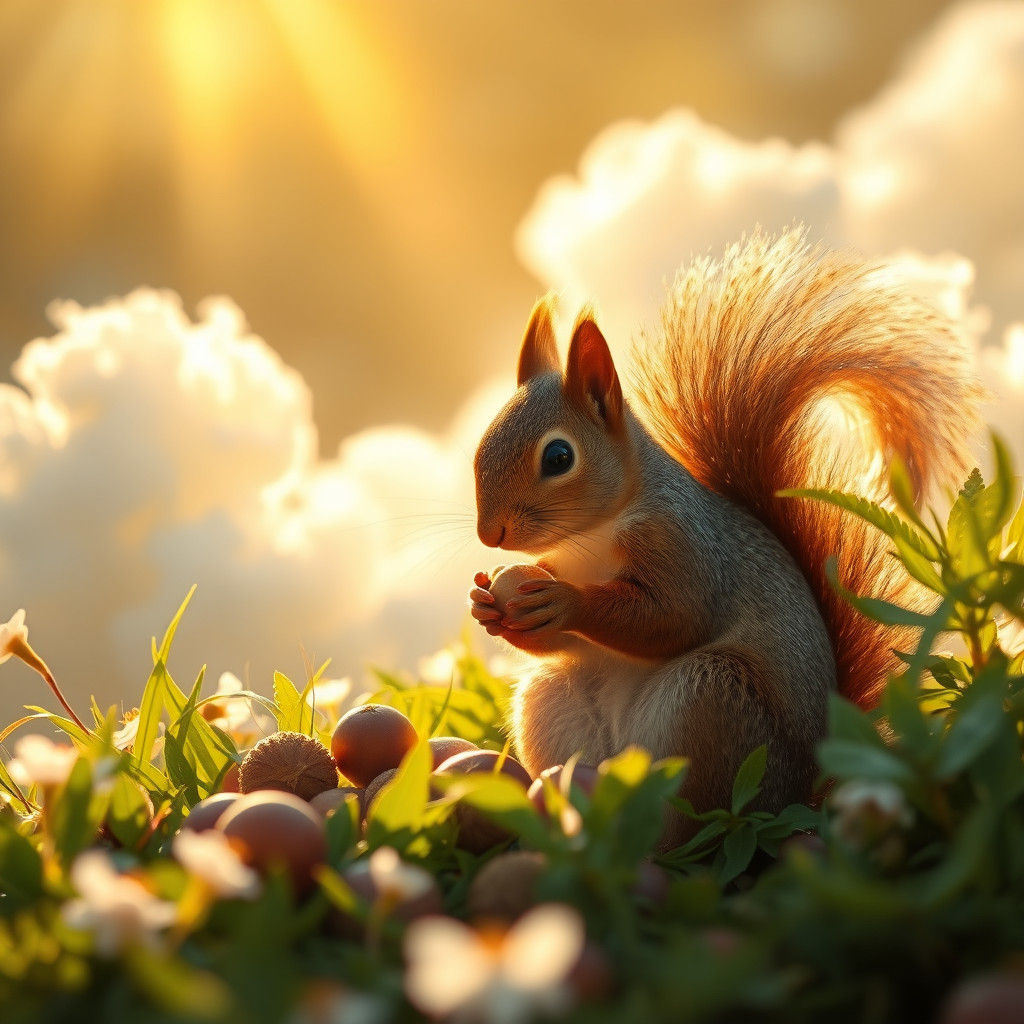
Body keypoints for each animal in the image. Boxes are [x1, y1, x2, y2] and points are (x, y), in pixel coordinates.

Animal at [468, 229, 983, 842]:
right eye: (481, 445)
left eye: (558, 457)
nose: (490, 533)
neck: (588, 540)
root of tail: (799, 790)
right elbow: (566, 641)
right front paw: (487, 606)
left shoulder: (685, 545)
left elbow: (674, 617)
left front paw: (566, 601)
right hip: (556, 703)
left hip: (711, 702)